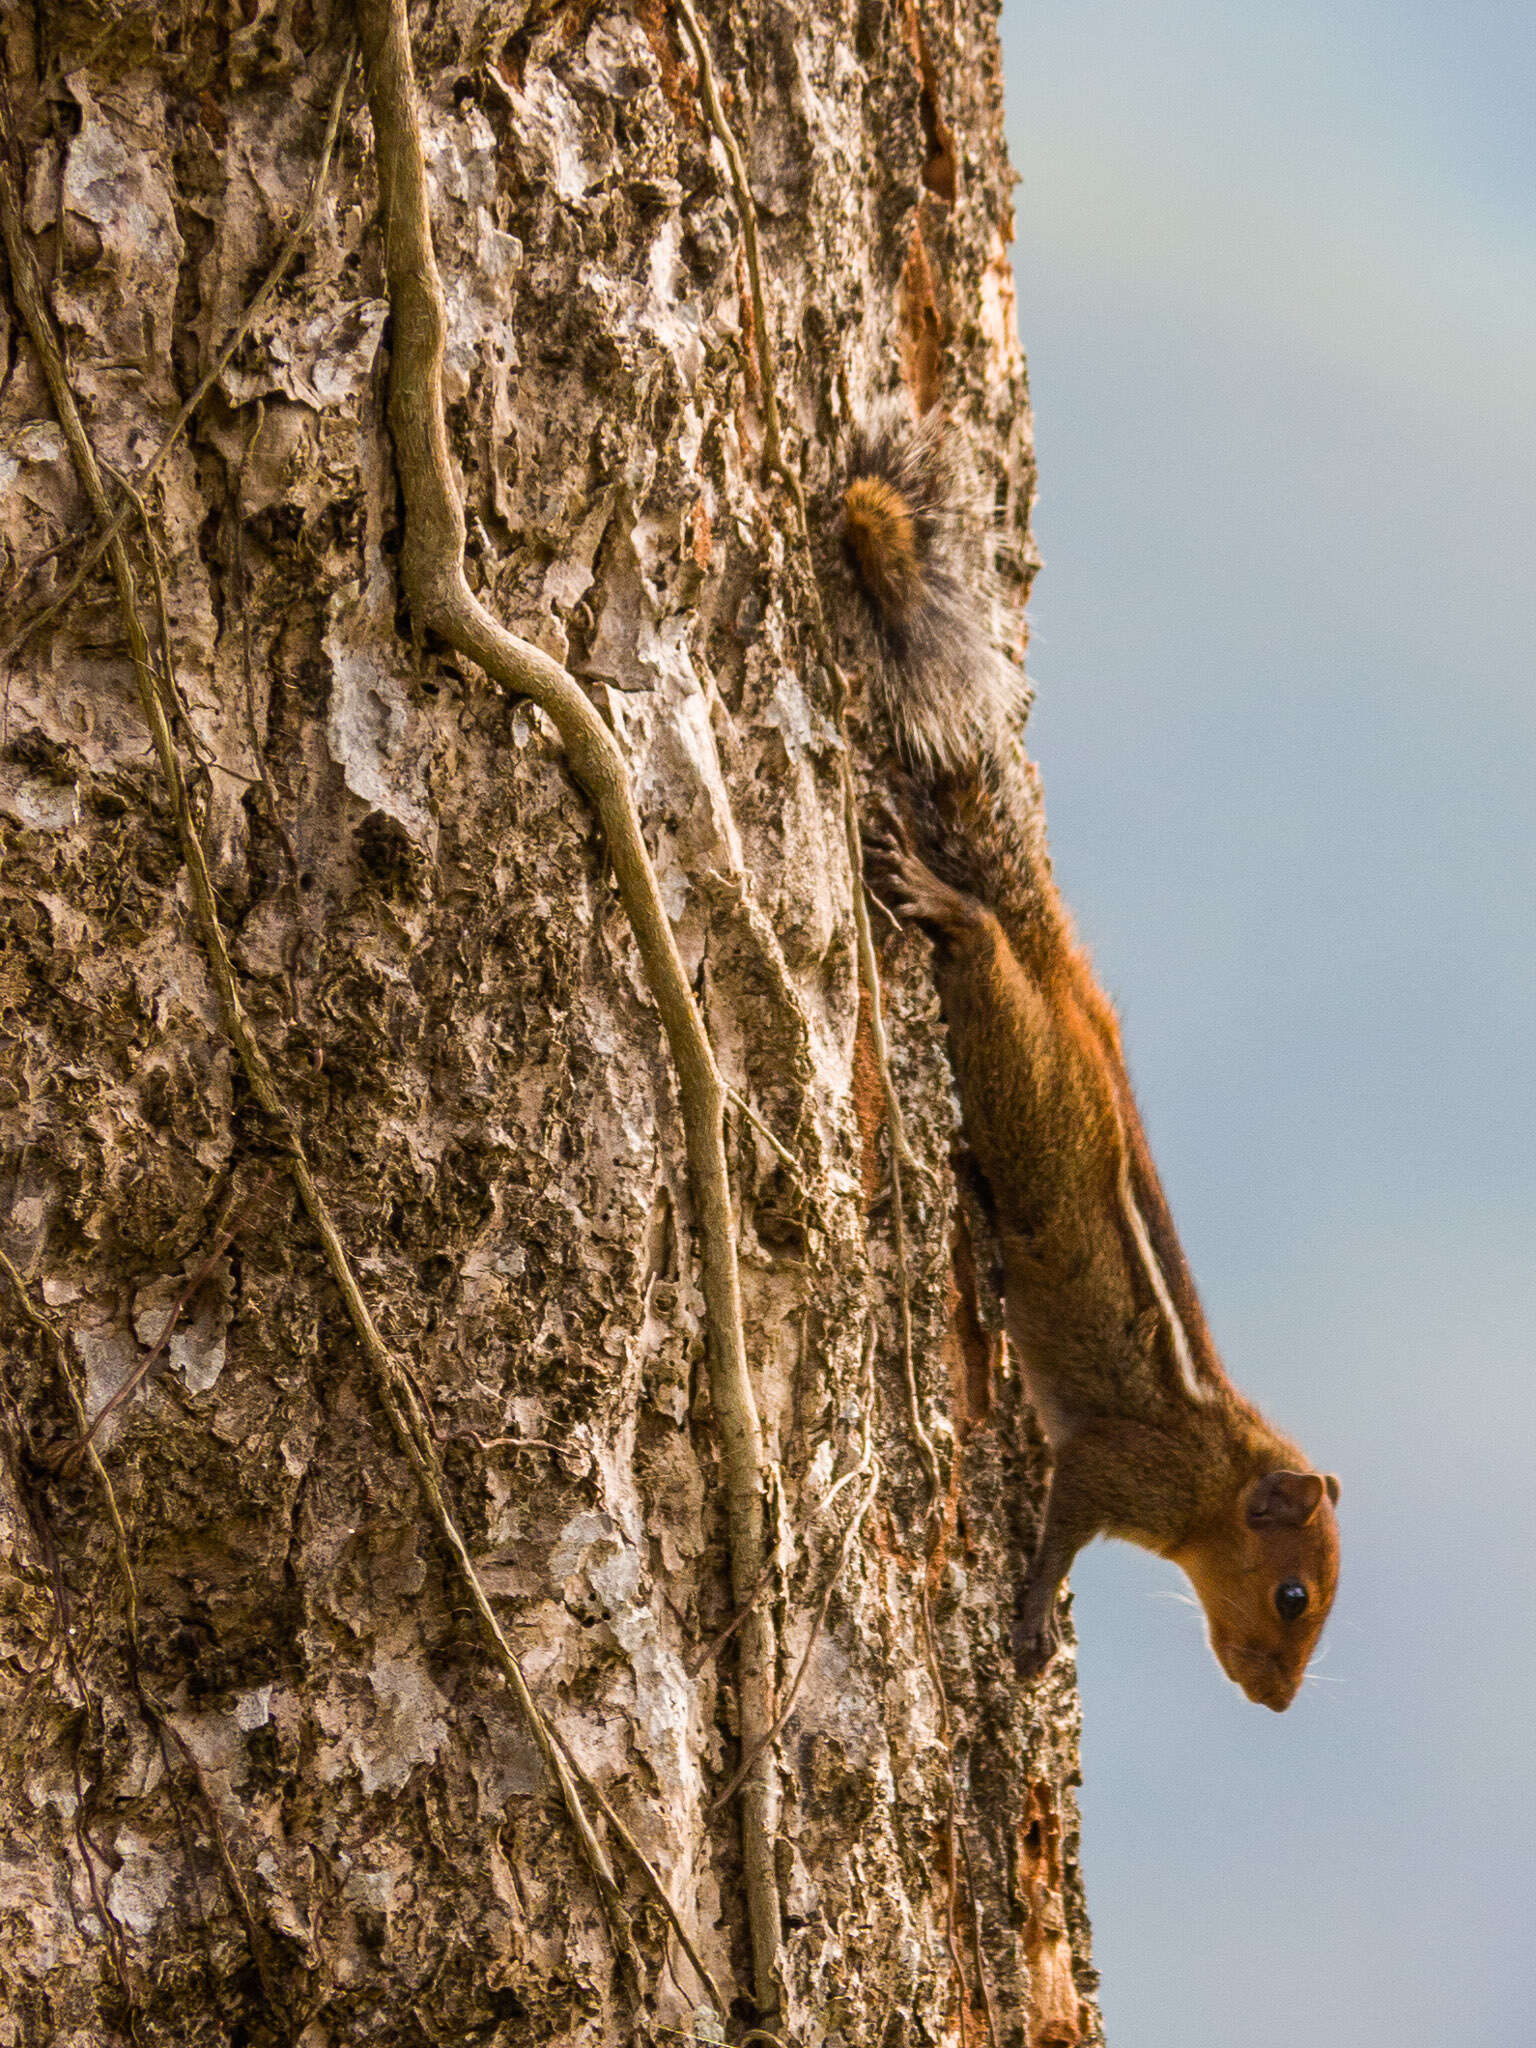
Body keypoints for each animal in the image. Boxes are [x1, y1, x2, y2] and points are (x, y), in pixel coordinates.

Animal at [847, 403, 1343, 1712]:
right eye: (1294, 1595)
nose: (1278, 1700)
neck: (1219, 1465)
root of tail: (1074, 1008)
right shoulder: (1119, 1465)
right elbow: (1063, 1529)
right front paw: (1028, 1615)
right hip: (1022, 1075)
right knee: (979, 956)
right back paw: (947, 904)